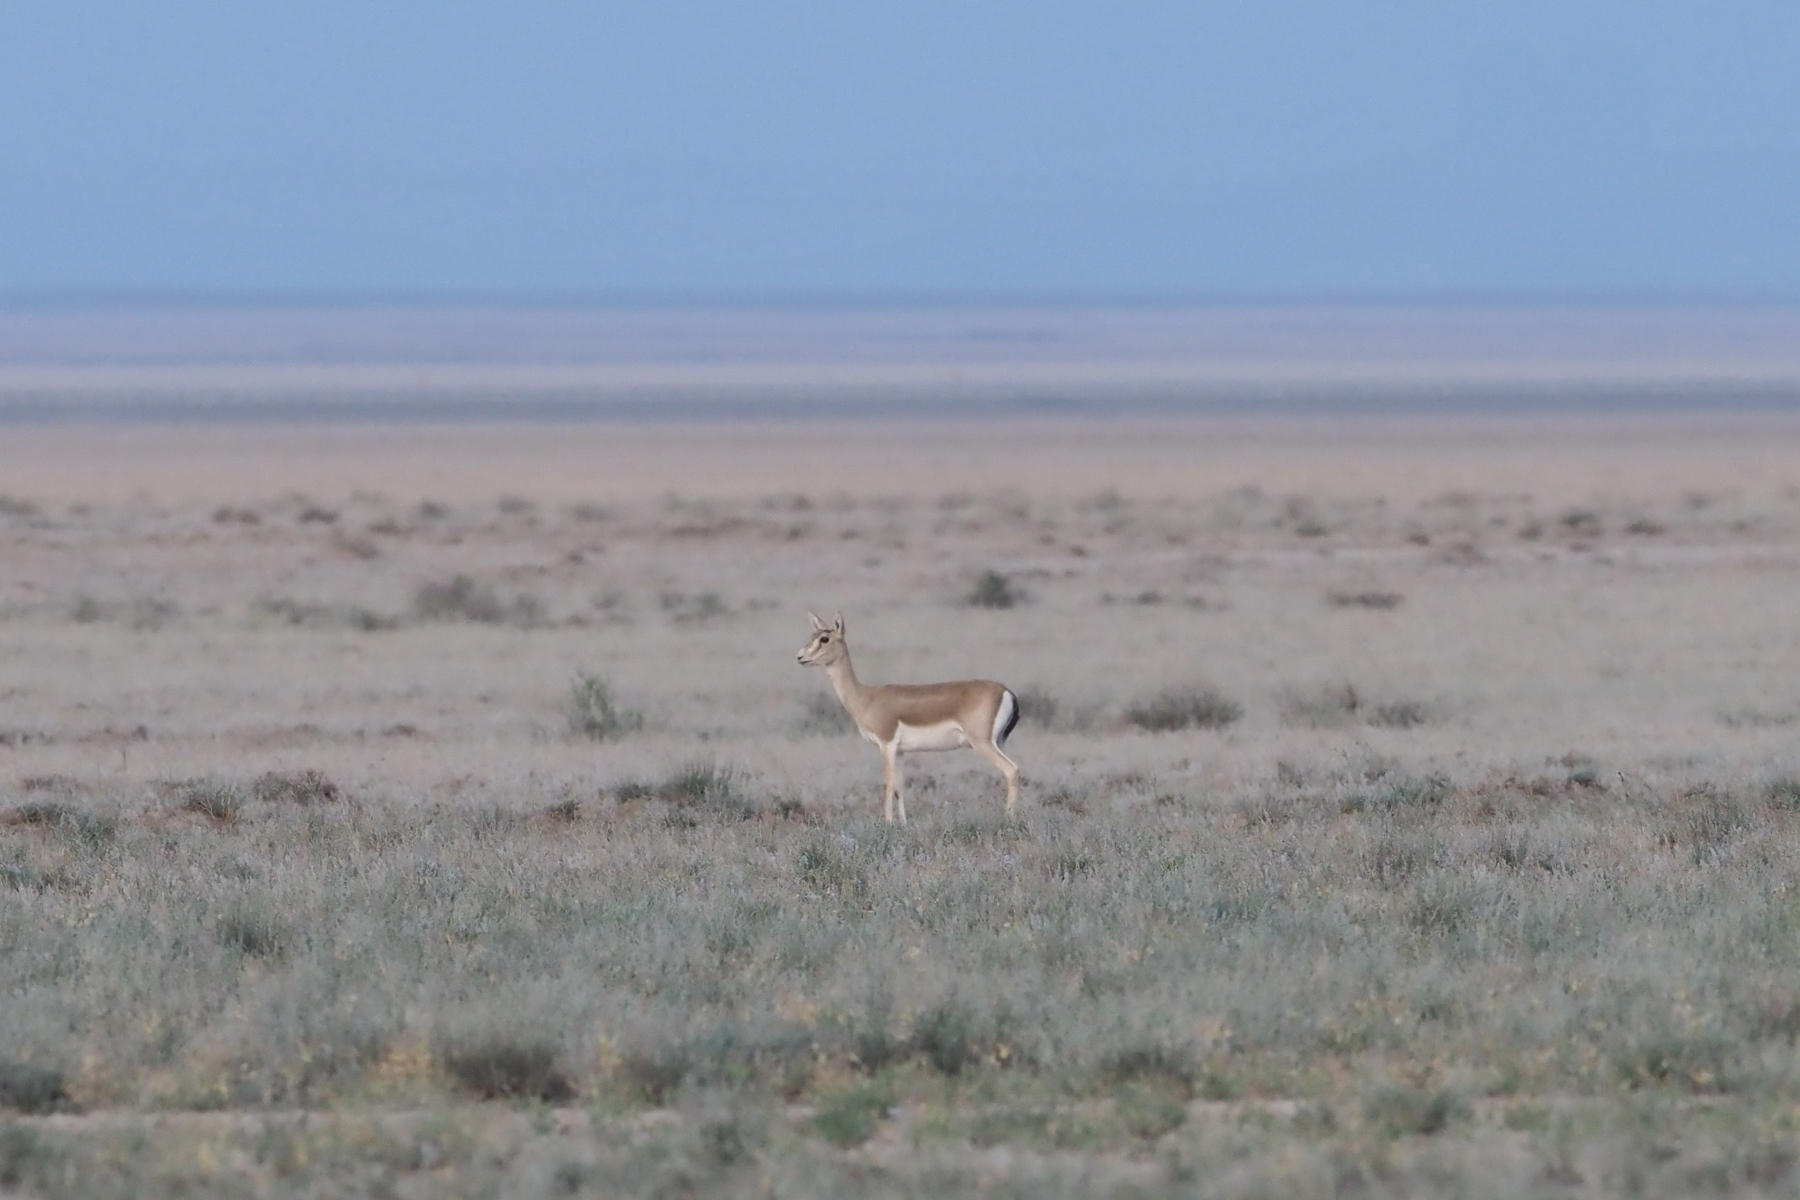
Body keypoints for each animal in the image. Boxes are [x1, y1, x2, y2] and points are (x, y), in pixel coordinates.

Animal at [797, 612, 1021, 823]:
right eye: (812, 636)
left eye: (824, 638)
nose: (800, 657)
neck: (867, 698)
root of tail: (1007, 691)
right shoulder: (901, 750)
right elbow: (900, 786)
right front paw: (903, 823)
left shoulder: (886, 744)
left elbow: (887, 784)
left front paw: (888, 823)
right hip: (999, 742)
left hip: (982, 743)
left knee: (1011, 770)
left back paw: (1009, 819)